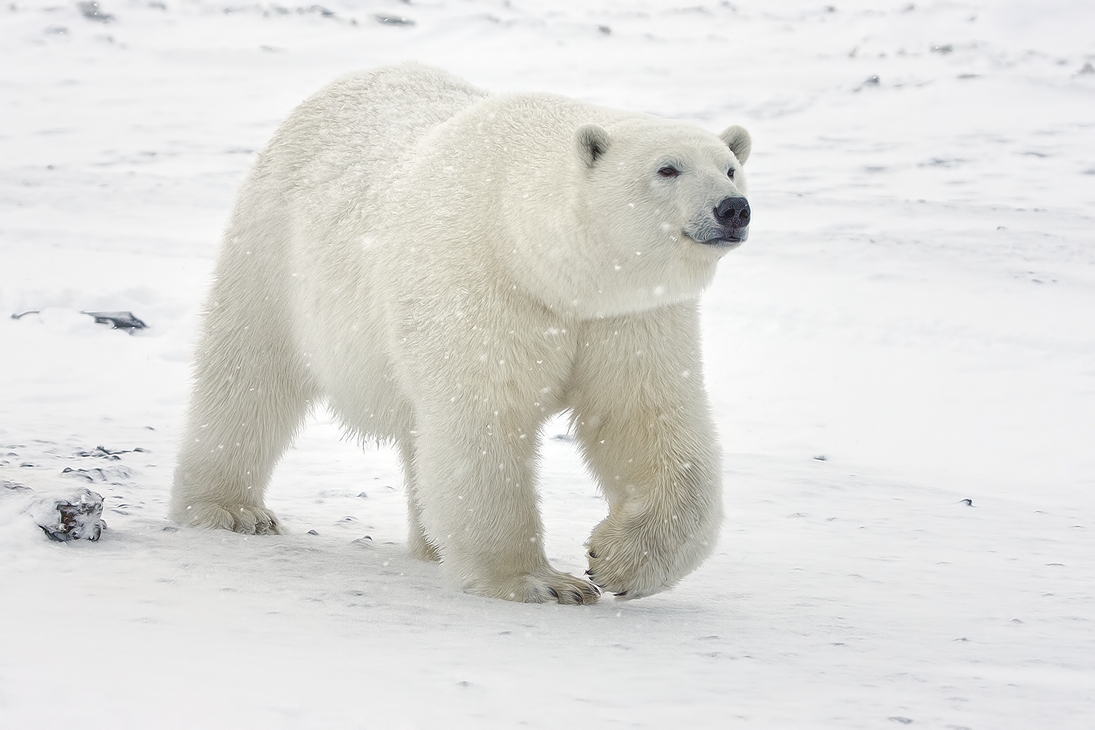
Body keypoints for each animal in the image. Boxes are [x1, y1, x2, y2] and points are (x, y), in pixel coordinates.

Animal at [170, 65, 753, 604]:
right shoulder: (479, 281)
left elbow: (644, 415)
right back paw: (231, 509)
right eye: (667, 168)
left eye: (731, 167)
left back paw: (431, 542)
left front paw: (618, 563)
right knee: (249, 373)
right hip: (273, 248)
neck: (542, 261)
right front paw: (542, 582)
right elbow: (483, 418)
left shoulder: (628, 315)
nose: (733, 208)